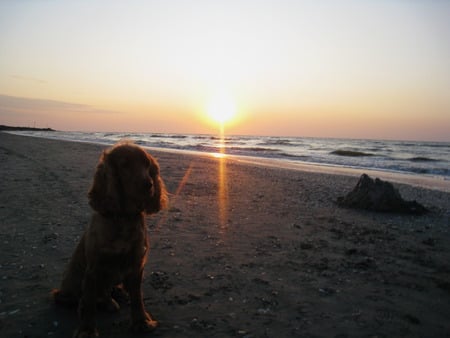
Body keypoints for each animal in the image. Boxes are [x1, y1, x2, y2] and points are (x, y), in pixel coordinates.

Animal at [51, 142, 167, 338]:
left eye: (146, 164)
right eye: (124, 165)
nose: (149, 185)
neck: (123, 219)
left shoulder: (135, 264)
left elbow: (137, 298)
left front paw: (141, 322)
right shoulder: (94, 268)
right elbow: (89, 303)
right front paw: (87, 330)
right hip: (70, 284)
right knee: (78, 298)